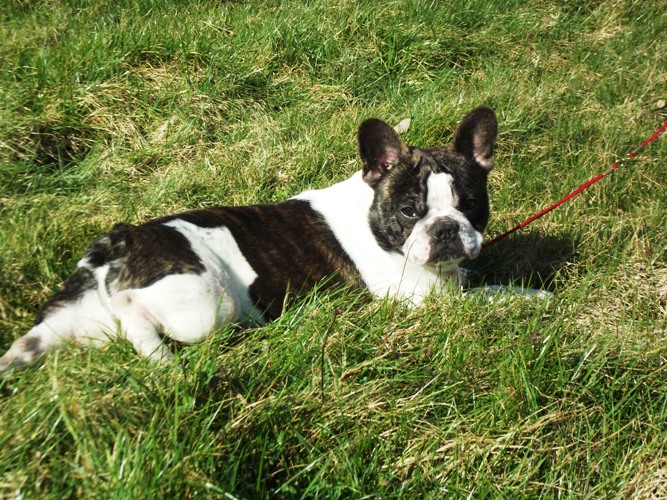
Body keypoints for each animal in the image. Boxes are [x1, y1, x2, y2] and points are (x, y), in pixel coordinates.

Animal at [1, 106, 500, 372]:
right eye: (409, 210)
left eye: (472, 203)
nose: (447, 228)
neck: (372, 216)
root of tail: (118, 243)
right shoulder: (427, 301)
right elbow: (497, 295)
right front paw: (520, 298)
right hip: (206, 306)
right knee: (133, 313)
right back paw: (164, 361)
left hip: (72, 324)